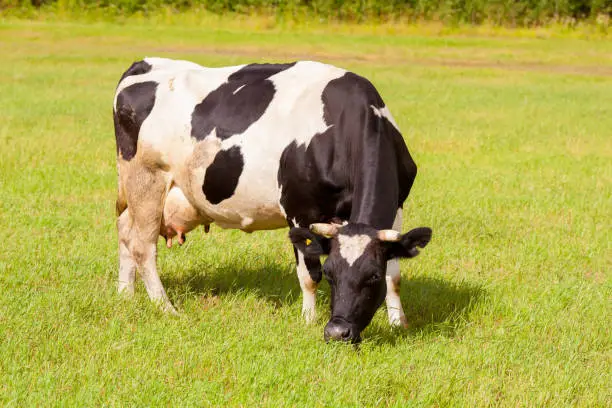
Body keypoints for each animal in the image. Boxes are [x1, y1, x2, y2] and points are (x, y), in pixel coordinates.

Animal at [113, 57, 430, 342]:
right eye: (331, 273)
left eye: (372, 276)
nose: (337, 333)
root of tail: (144, 64)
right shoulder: (300, 211)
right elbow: (308, 275)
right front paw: (308, 321)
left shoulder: (397, 208)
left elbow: (394, 275)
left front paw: (398, 323)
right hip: (146, 180)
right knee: (143, 246)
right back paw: (166, 307)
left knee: (125, 231)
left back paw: (125, 295)